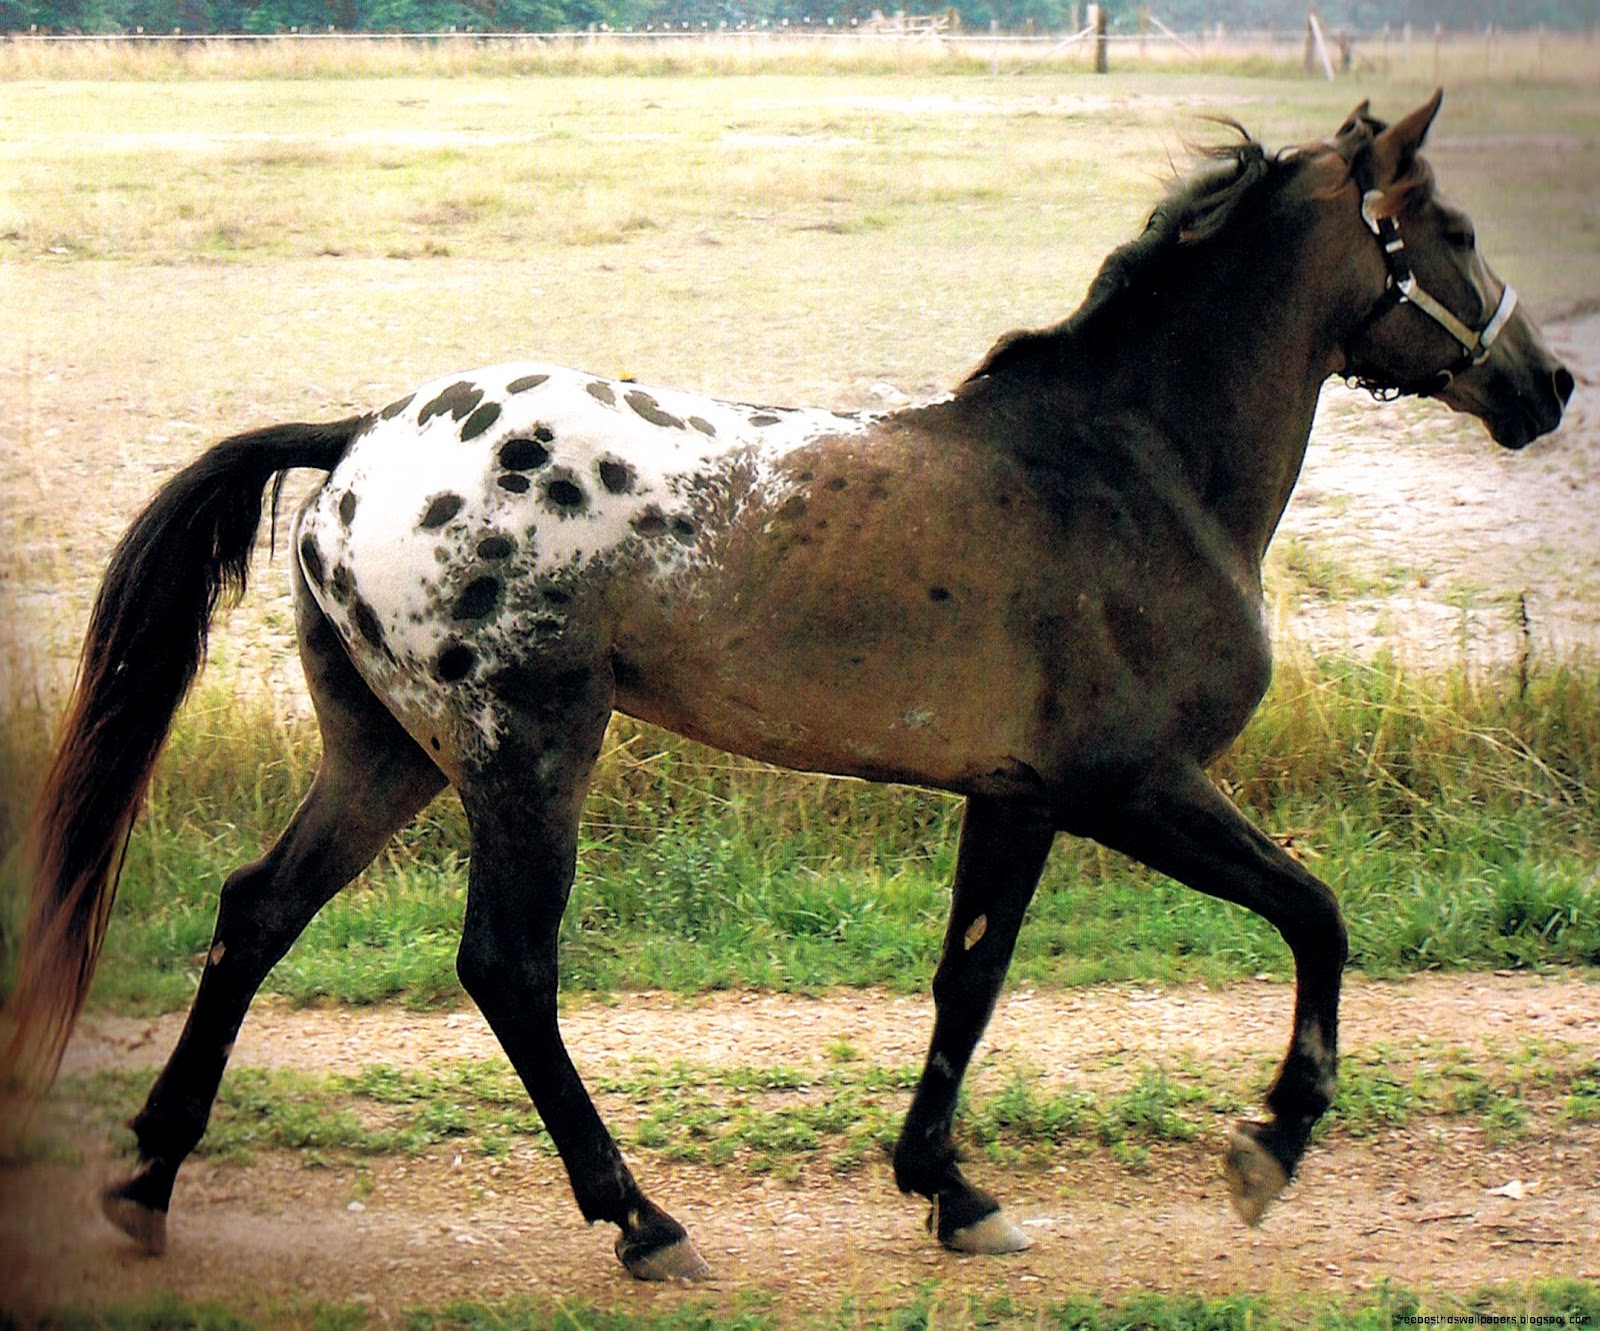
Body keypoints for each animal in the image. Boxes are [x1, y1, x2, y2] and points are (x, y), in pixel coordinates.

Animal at [1, 92, 1573, 1281]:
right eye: (1451, 229)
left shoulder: (1017, 797)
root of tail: (362, 442)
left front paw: (951, 1188)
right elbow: (1315, 913)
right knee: (506, 966)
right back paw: (642, 1221)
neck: (1135, 467)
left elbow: (969, 979)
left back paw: (149, 1181)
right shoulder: (1132, 784)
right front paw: (1270, 1143)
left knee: (256, 912)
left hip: (385, 751)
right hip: (524, 753)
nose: (1546, 385)